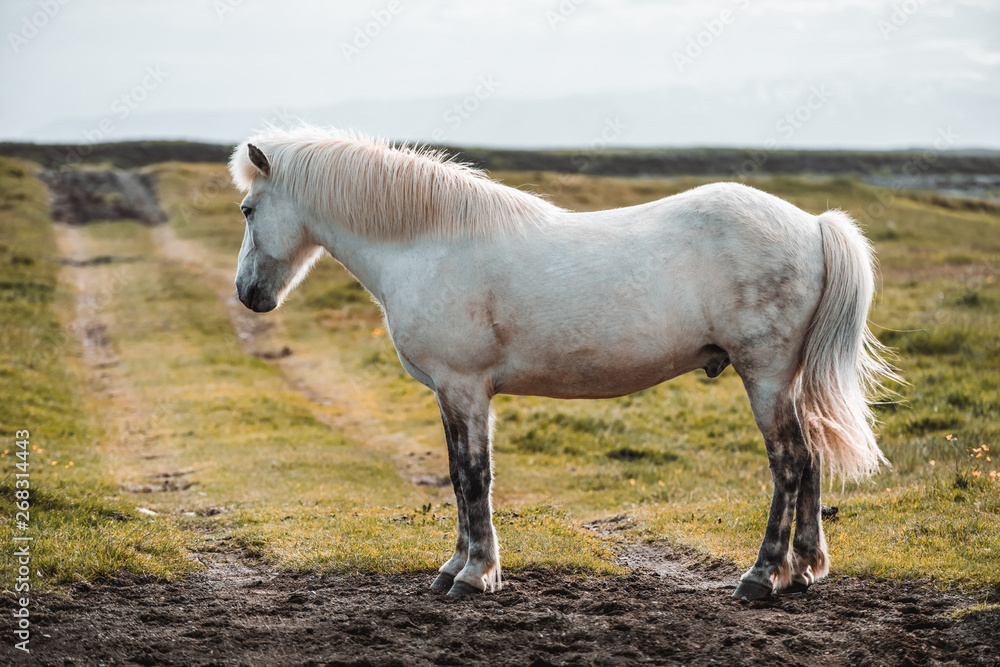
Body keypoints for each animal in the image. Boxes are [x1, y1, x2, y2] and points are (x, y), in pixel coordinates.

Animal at [229, 125, 900, 600]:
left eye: (247, 210)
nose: (248, 294)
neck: (429, 243)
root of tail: (812, 224)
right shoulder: (452, 393)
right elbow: (459, 475)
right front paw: (456, 567)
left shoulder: (464, 388)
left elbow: (472, 476)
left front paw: (474, 575)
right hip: (785, 381)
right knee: (811, 461)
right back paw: (805, 569)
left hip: (764, 376)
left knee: (790, 463)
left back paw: (762, 577)